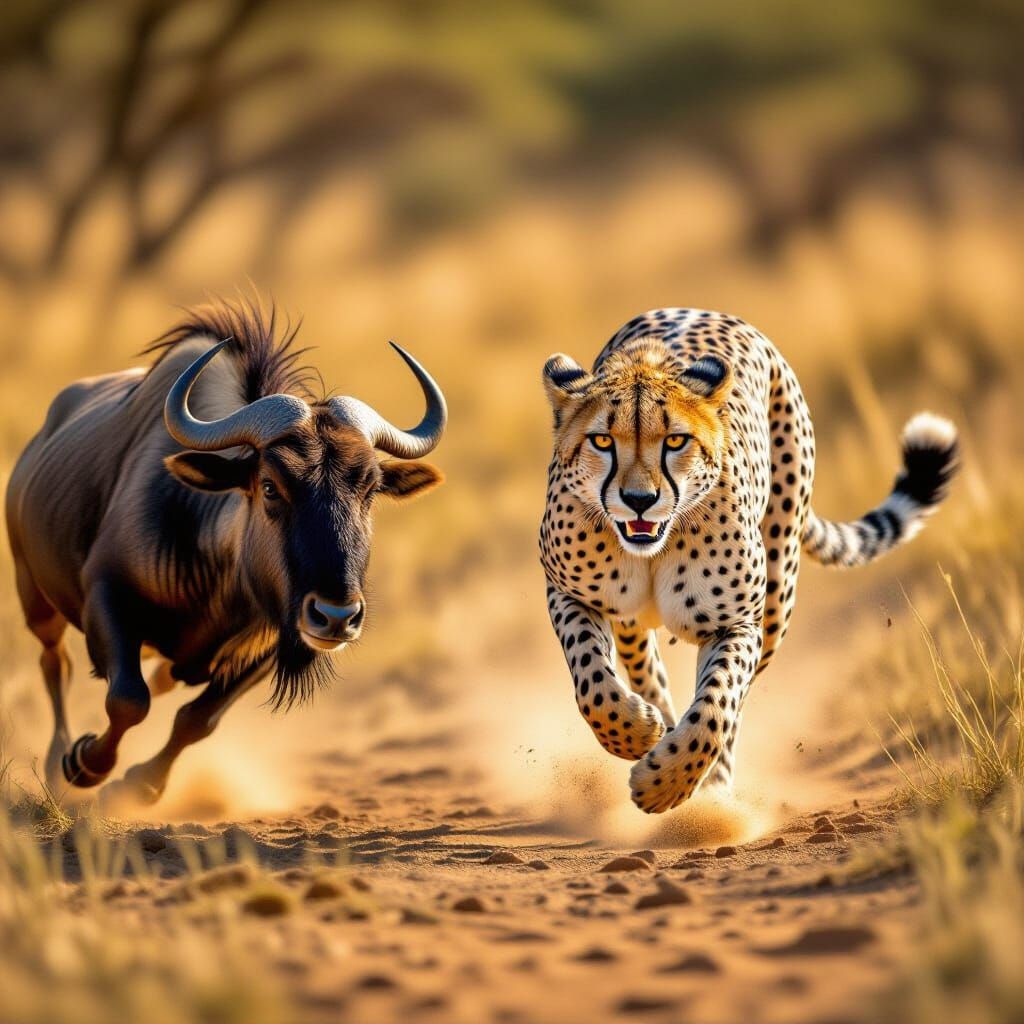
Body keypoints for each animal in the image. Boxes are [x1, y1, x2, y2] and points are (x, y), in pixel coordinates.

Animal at [539, 307, 959, 813]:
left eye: (675, 441)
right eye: (602, 440)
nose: (639, 500)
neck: (653, 549)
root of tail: (703, 310)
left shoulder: (736, 624)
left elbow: (716, 706)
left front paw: (669, 783)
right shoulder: (569, 594)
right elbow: (593, 681)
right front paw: (635, 732)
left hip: (777, 596)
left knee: (732, 704)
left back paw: (710, 787)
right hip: (634, 622)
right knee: (644, 666)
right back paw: (659, 720)